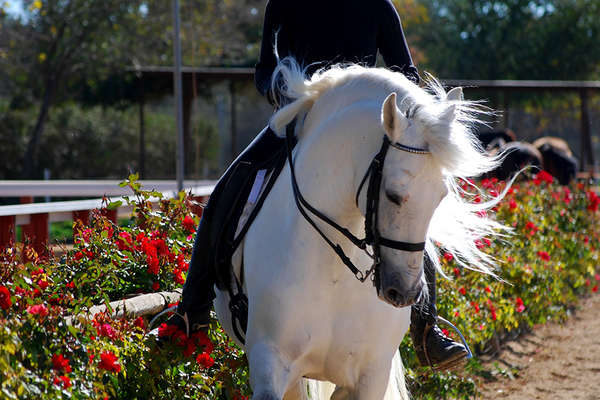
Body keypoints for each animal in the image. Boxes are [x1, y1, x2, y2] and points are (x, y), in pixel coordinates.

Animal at [213, 60, 504, 400]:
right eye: (392, 194)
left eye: (441, 196)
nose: (404, 292)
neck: (334, 267)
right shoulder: (270, 364)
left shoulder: (370, 374)